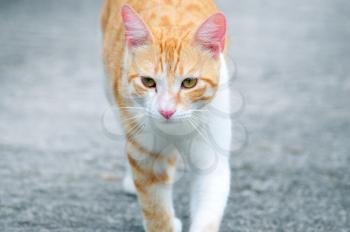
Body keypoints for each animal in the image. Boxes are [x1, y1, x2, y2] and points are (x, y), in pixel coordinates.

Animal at [101, 0, 232, 231]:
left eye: (189, 82)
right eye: (148, 82)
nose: (166, 111)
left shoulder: (210, 158)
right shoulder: (147, 157)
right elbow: (156, 210)